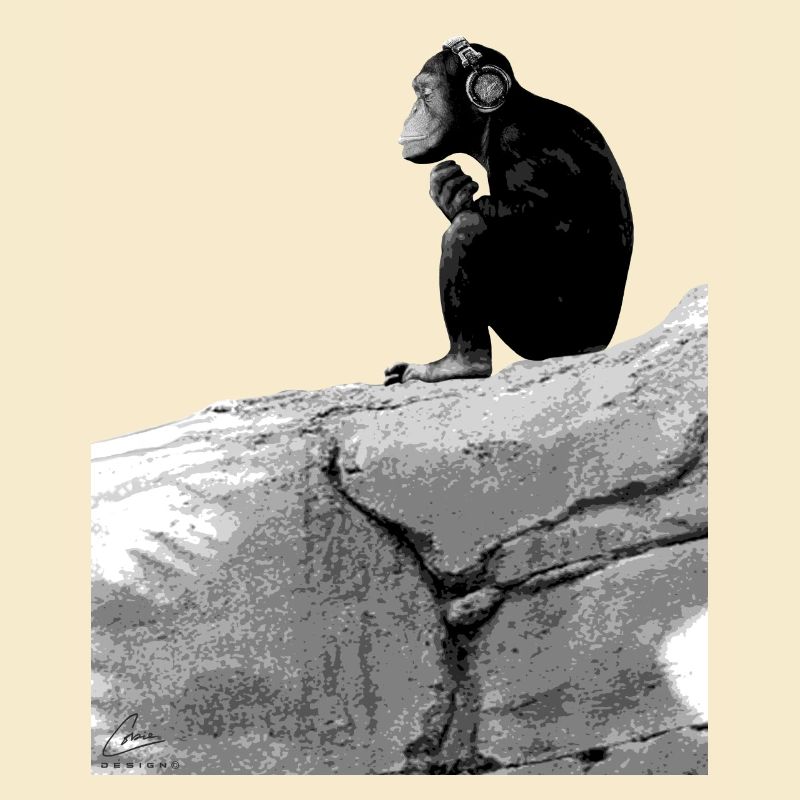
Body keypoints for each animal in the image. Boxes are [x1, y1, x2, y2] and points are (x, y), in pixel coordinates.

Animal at [384, 37, 633, 386]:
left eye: (425, 93)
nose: (413, 109)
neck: (494, 122)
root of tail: (599, 345)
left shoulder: (518, 138)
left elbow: (552, 216)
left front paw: (453, 196)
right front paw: (448, 189)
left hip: (545, 332)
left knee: (468, 230)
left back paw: (462, 363)